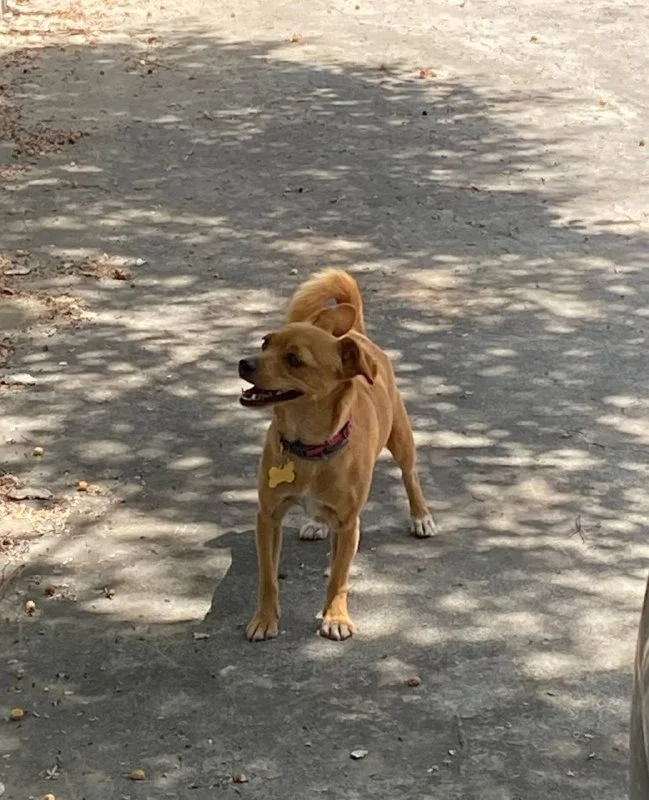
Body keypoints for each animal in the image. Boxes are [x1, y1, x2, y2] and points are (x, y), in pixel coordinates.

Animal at [238, 269, 436, 642]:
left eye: (294, 359)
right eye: (265, 343)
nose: (243, 363)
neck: (308, 446)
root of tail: (354, 333)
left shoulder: (347, 526)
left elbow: (339, 578)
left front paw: (336, 617)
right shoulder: (268, 517)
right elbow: (268, 577)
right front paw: (265, 618)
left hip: (401, 438)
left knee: (410, 475)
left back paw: (421, 516)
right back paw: (316, 523)